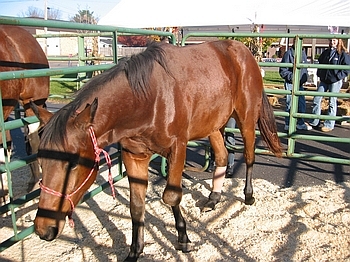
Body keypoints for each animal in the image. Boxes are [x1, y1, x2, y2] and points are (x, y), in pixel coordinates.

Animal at [32, 40, 284, 260]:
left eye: (73, 163)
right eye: (41, 161)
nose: (43, 229)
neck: (147, 100)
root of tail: (243, 51)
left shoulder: (178, 149)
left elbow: (170, 196)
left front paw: (183, 238)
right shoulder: (134, 156)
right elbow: (136, 207)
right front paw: (135, 251)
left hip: (246, 118)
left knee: (249, 155)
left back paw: (248, 196)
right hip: (213, 125)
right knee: (221, 157)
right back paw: (213, 199)